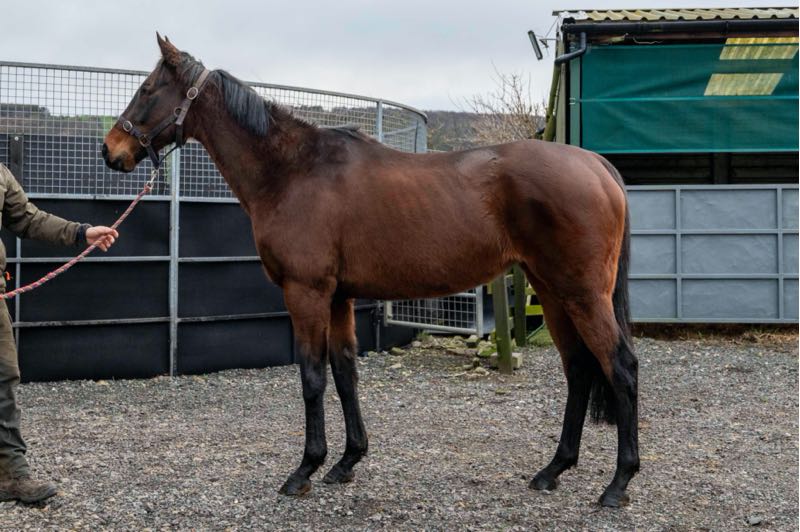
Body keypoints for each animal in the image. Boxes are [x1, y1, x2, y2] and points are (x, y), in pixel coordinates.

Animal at [103, 35, 639, 508]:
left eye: (147, 89)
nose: (111, 151)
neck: (293, 171)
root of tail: (597, 166)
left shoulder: (307, 293)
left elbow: (312, 376)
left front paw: (305, 469)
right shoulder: (339, 297)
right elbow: (345, 372)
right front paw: (347, 461)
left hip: (581, 293)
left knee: (620, 366)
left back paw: (617, 484)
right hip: (551, 292)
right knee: (578, 369)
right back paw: (553, 470)